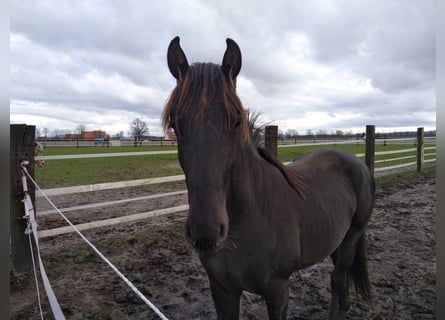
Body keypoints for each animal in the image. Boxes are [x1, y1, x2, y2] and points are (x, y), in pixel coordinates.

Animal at [161, 36, 372, 318]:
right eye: (175, 123)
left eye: (237, 121)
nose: (205, 231)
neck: (250, 216)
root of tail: (355, 161)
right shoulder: (222, 289)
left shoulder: (277, 290)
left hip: (351, 238)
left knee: (338, 282)